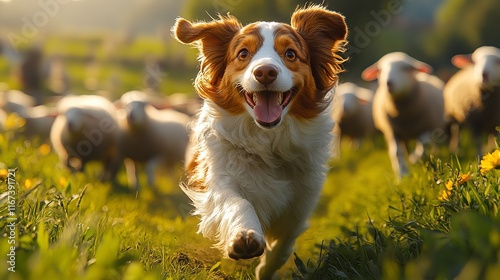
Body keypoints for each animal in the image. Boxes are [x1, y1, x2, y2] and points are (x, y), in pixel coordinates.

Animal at [174, 5, 346, 278]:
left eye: (290, 53)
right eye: (243, 53)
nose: (265, 72)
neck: (267, 141)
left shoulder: (301, 200)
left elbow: (284, 244)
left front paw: (265, 269)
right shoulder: (221, 180)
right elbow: (238, 203)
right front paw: (244, 236)